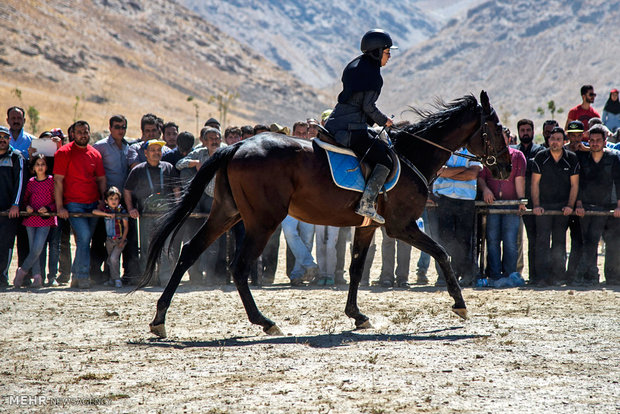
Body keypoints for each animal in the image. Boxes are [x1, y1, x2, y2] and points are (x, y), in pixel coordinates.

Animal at [138, 90, 512, 336]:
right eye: (496, 129)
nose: (507, 168)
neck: (412, 155)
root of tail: (238, 145)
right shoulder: (401, 226)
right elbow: (443, 253)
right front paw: (460, 305)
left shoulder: (368, 226)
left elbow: (357, 268)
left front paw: (357, 315)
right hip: (262, 221)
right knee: (239, 267)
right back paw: (264, 322)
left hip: (227, 213)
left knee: (189, 252)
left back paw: (159, 320)